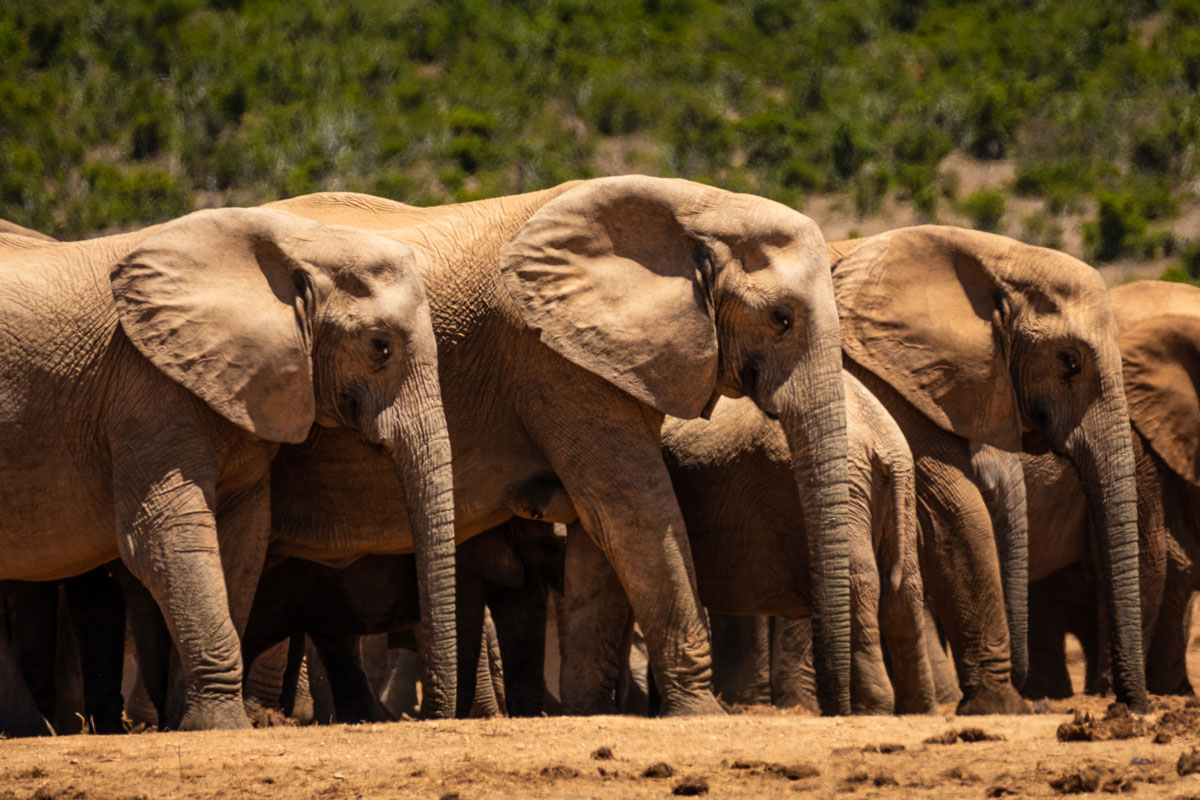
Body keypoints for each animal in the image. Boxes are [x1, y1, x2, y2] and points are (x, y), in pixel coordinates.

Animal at [0, 207, 457, 733]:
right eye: (380, 347)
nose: (435, 715)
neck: (295, 242)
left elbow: (244, 534)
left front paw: (192, 718)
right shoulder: (145, 387)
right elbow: (162, 531)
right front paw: (221, 724)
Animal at [261, 175, 855, 715]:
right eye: (781, 318)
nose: (839, 708)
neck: (696, 203)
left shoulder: (604, 359)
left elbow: (603, 534)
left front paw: (592, 712)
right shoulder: (554, 361)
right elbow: (634, 513)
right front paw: (699, 715)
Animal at [818, 226, 1146, 713]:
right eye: (1069, 361)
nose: (1127, 708)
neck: (998, 255)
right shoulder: (889, 376)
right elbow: (954, 506)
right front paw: (1000, 707)